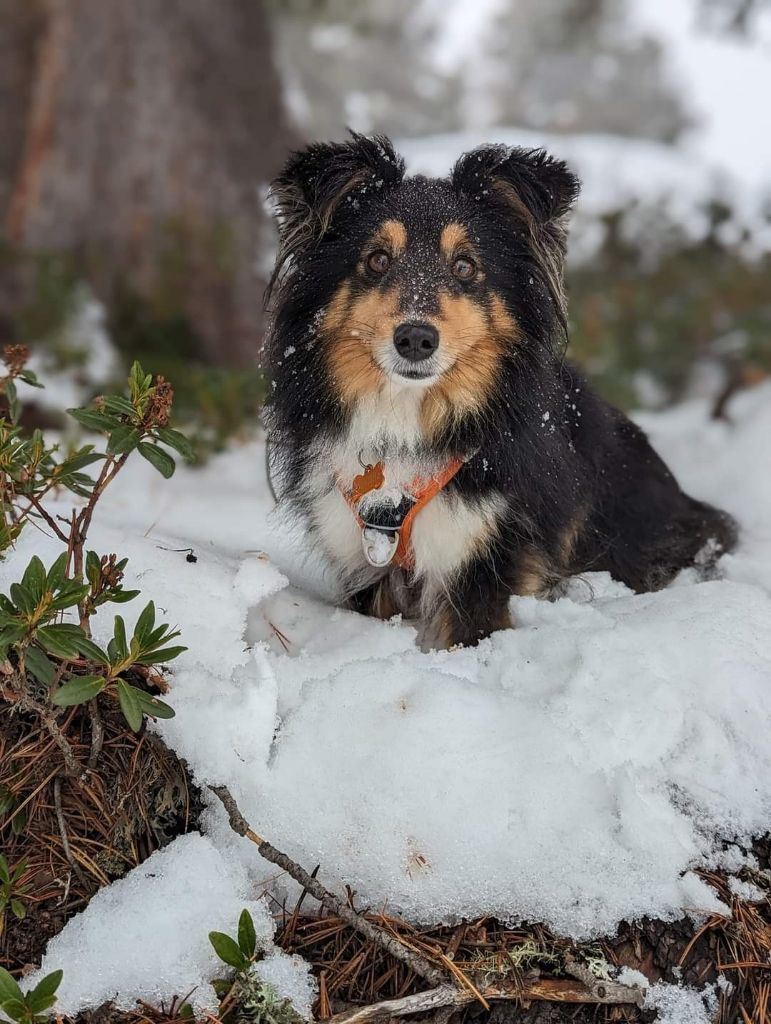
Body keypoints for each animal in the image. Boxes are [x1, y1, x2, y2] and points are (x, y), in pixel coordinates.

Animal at [262, 134, 737, 647]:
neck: (408, 418)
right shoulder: (364, 557)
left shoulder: (486, 554)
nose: (416, 339)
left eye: (465, 266)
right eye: (377, 260)